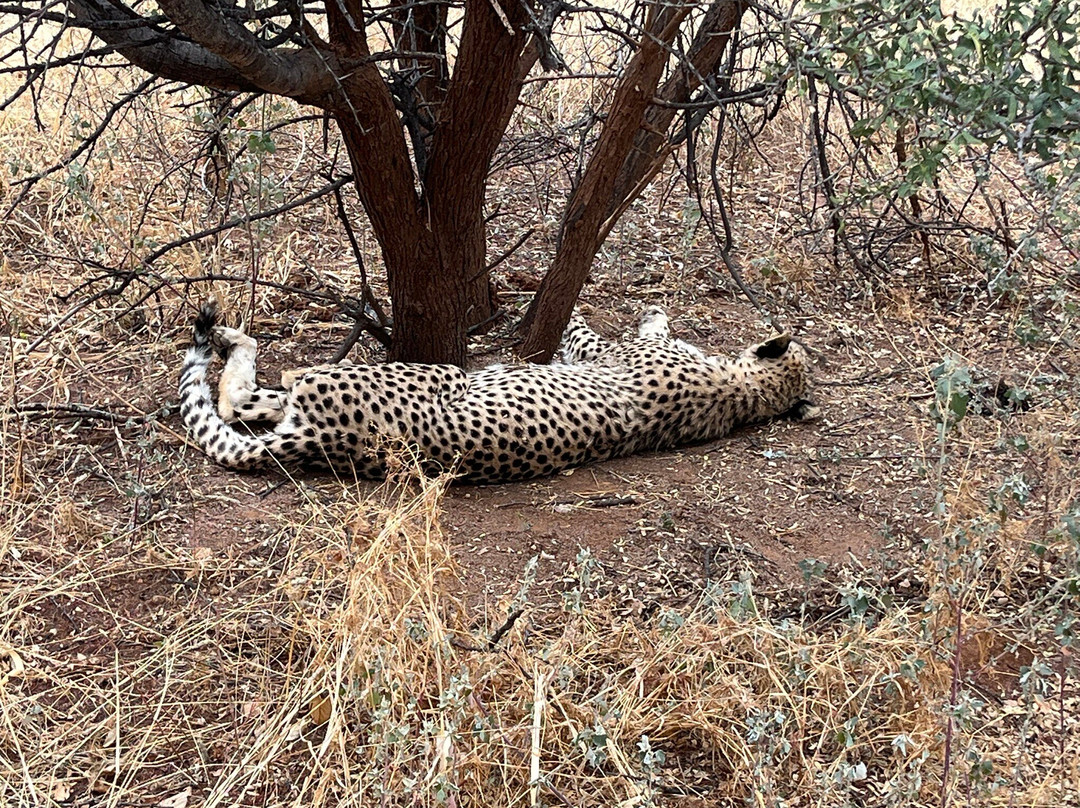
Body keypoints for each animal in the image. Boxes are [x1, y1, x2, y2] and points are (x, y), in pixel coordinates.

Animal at [178, 301, 817, 483]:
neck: (744, 395)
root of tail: (329, 443)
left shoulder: (611, 355)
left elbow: (588, 335)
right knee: (245, 400)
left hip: (434, 374)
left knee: (259, 391)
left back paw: (233, 337)